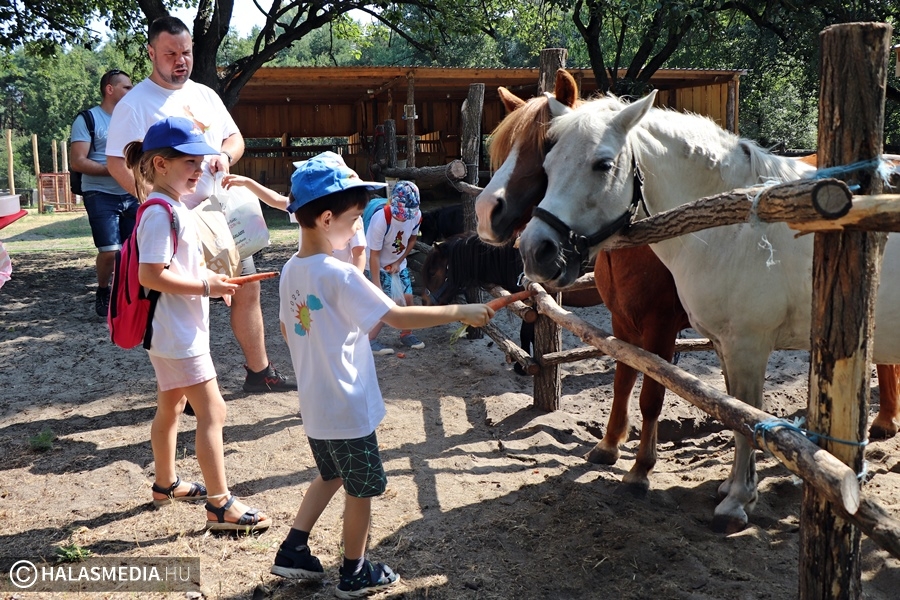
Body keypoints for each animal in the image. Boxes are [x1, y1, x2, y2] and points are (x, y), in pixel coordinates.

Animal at [474, 70, 896, 494]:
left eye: (544, 145)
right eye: (549, 156)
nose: (486, 212)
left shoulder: (662, 327)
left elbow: (652, 394)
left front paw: (642, 467)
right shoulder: (623, 323)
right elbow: (624, 380)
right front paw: (609, 446)